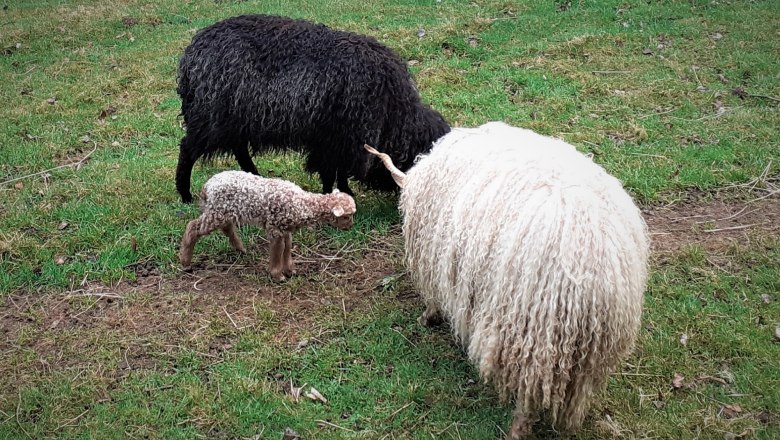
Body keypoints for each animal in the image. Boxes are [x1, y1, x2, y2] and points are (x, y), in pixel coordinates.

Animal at [174, 14, 448, 204]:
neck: (391, 112)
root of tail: (193, 52)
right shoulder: (334, 138)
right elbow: (330, 172)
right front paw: (336, 195)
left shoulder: (342, 141)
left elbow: (339, 171)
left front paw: (345, 192)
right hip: (211, 117)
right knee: (188, 150)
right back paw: (185, 195)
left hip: (237, 120)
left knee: (240, 150)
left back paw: (256, 177)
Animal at [180, 170, 356, 280]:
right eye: (347, 216)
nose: (350, 227)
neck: (303, 204)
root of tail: (207, 186)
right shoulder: (275, 228)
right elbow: (278, 250)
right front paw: (278, 275)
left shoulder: (286, 229)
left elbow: (287, 248)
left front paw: (290, 270)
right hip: (216, 212)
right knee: (193, 227)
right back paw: (185, 262)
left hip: (223, 211)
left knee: (226, 227)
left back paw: (240, 248)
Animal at [364, 119, 644, 436]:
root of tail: (597, 276)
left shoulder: (436, 259)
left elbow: (435, 295)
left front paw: (428, 317)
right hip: (588, 355)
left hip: (531, 337)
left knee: (529, 394)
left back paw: (517, 430)